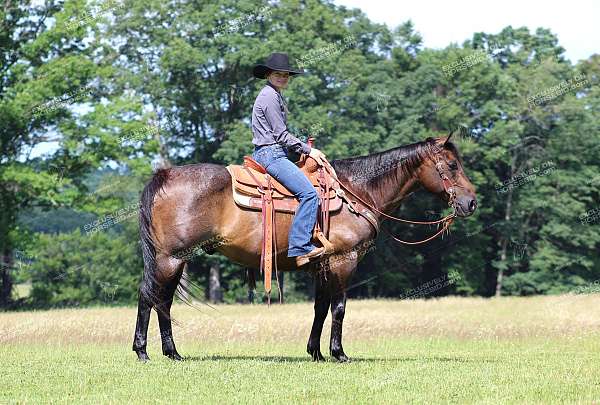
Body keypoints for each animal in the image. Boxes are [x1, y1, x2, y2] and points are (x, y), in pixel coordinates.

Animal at [132, 134, 478, 362]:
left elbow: (320, 308)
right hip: (170, 259)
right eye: (451, 165)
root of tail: (165, 175)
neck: (357, 191)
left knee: (162, 301)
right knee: (151, 298)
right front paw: (339, 353)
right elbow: (339, 307)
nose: (471, 202)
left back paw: (171, 353)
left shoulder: (323, 264)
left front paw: (316, 352)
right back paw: (144, 352)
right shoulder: (343, 260)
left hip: (173, 260)